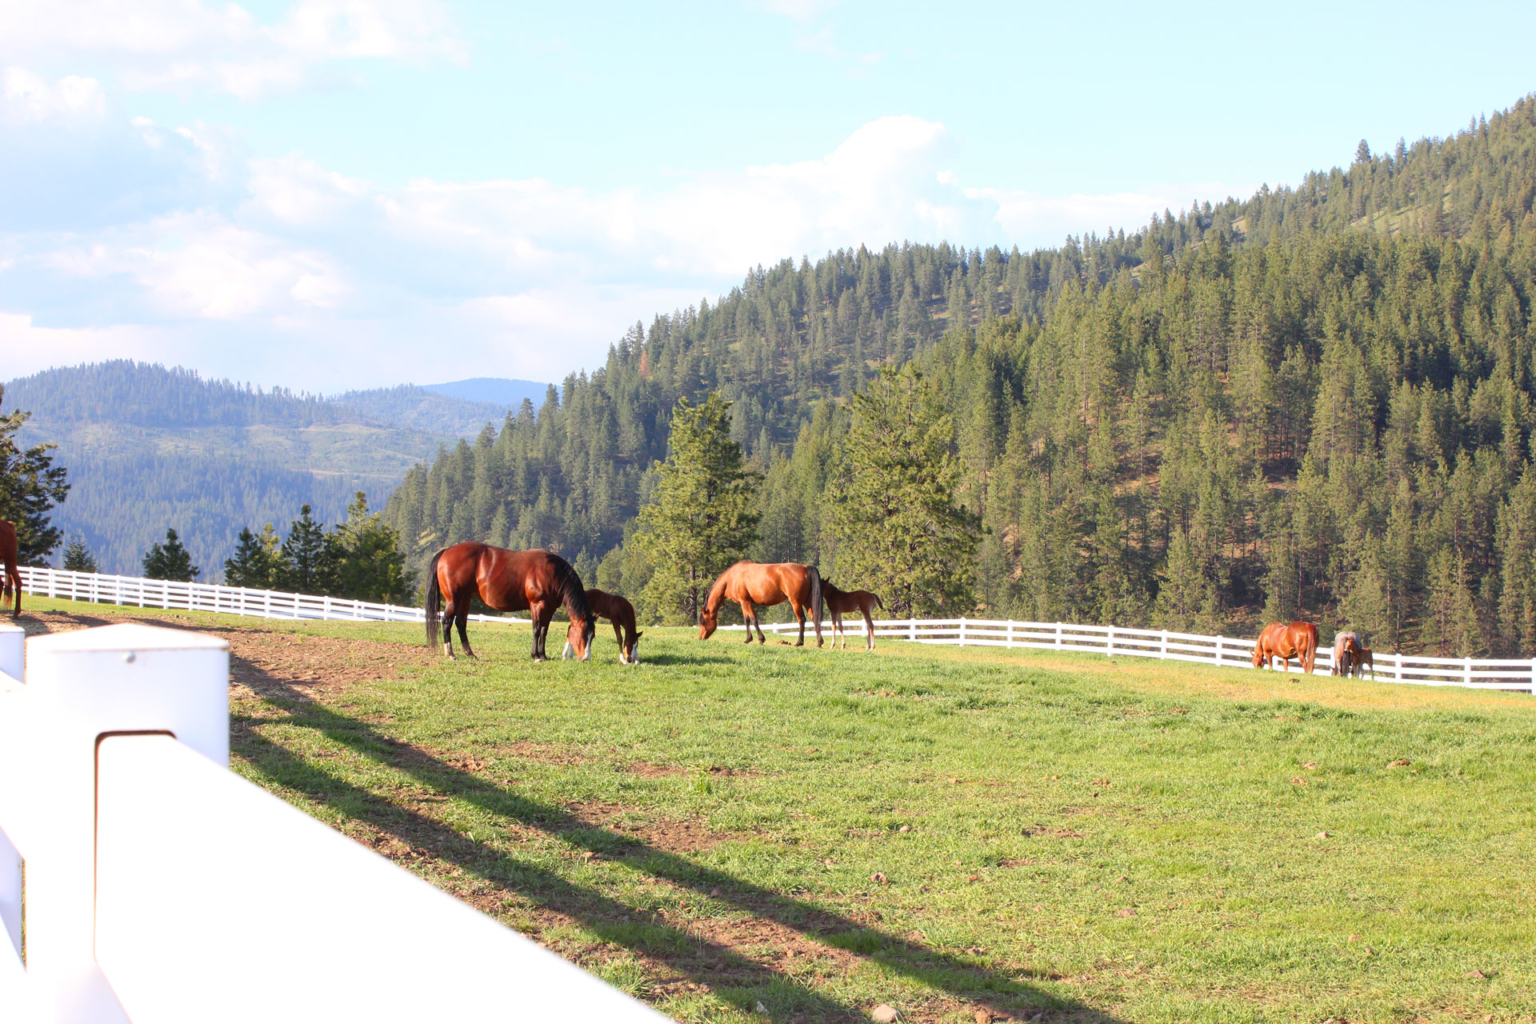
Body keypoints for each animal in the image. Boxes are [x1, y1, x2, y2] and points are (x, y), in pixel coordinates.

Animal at [424, 543, 594, 662]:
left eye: (592, 637)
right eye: (583, 634)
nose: (586, 658)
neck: (552, 572)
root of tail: (446, 551)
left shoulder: (549, 608)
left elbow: (544, 631)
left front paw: (543, 655)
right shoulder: (537, 605)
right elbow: (536, 629)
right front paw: (536, 656)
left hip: (465, 598)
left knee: (460, 623)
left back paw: (470, 654)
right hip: (454, 599)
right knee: (447, 621)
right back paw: (450, 653)